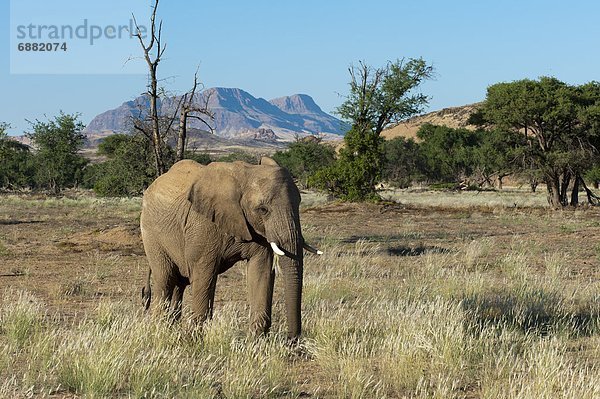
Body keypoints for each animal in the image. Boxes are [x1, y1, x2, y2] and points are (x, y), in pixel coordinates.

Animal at [141, 156, 322, 338]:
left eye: (299, 204)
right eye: (263, 209)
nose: (291, 339)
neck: (246, 174)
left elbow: (262, 271)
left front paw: (256, 340)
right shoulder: (203, 225)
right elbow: (204, 275)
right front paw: (195, 340)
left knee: (179, 283)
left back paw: (170, 328)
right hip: (151, 233)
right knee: (165, 279)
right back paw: (159, 329)